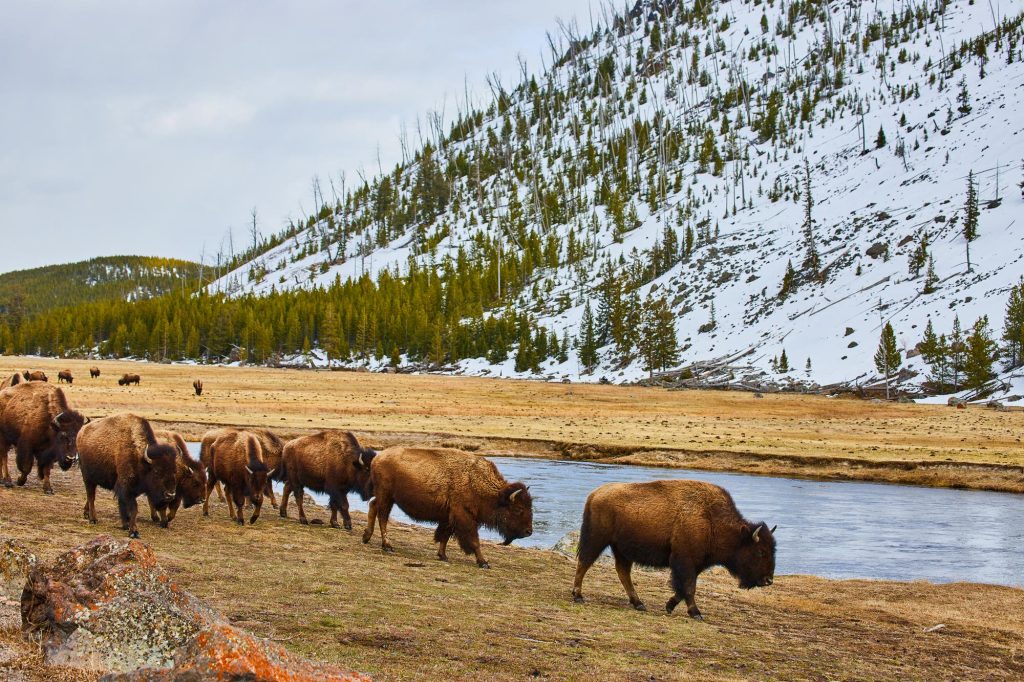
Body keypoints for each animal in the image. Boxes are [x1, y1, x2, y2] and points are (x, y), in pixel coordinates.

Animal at [362, 447, 533, 568]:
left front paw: (443, 556)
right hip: (386, 496)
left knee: (373, 506)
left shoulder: (450, 517)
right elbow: (474, 541)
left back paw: (366, 537)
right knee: (383, 517)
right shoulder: (464, 516)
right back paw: (387, 546)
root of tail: (377, 458)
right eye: (518, 509)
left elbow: (445, 536)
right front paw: (483, 562)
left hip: (386, 497)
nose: (528, 532)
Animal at [571, 480, 777, 620]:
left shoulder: (695, 564)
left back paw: (639, 604)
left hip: (622, 549)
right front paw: (696, 613)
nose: (768, 580)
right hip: (597, 540)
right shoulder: (685, 561)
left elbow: (683, 588)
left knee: (623, 573)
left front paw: (669, 606)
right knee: (584, 563)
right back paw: (578, 596)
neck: (712, 519)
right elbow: (689, 587)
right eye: (760, 552)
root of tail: (594, 494)